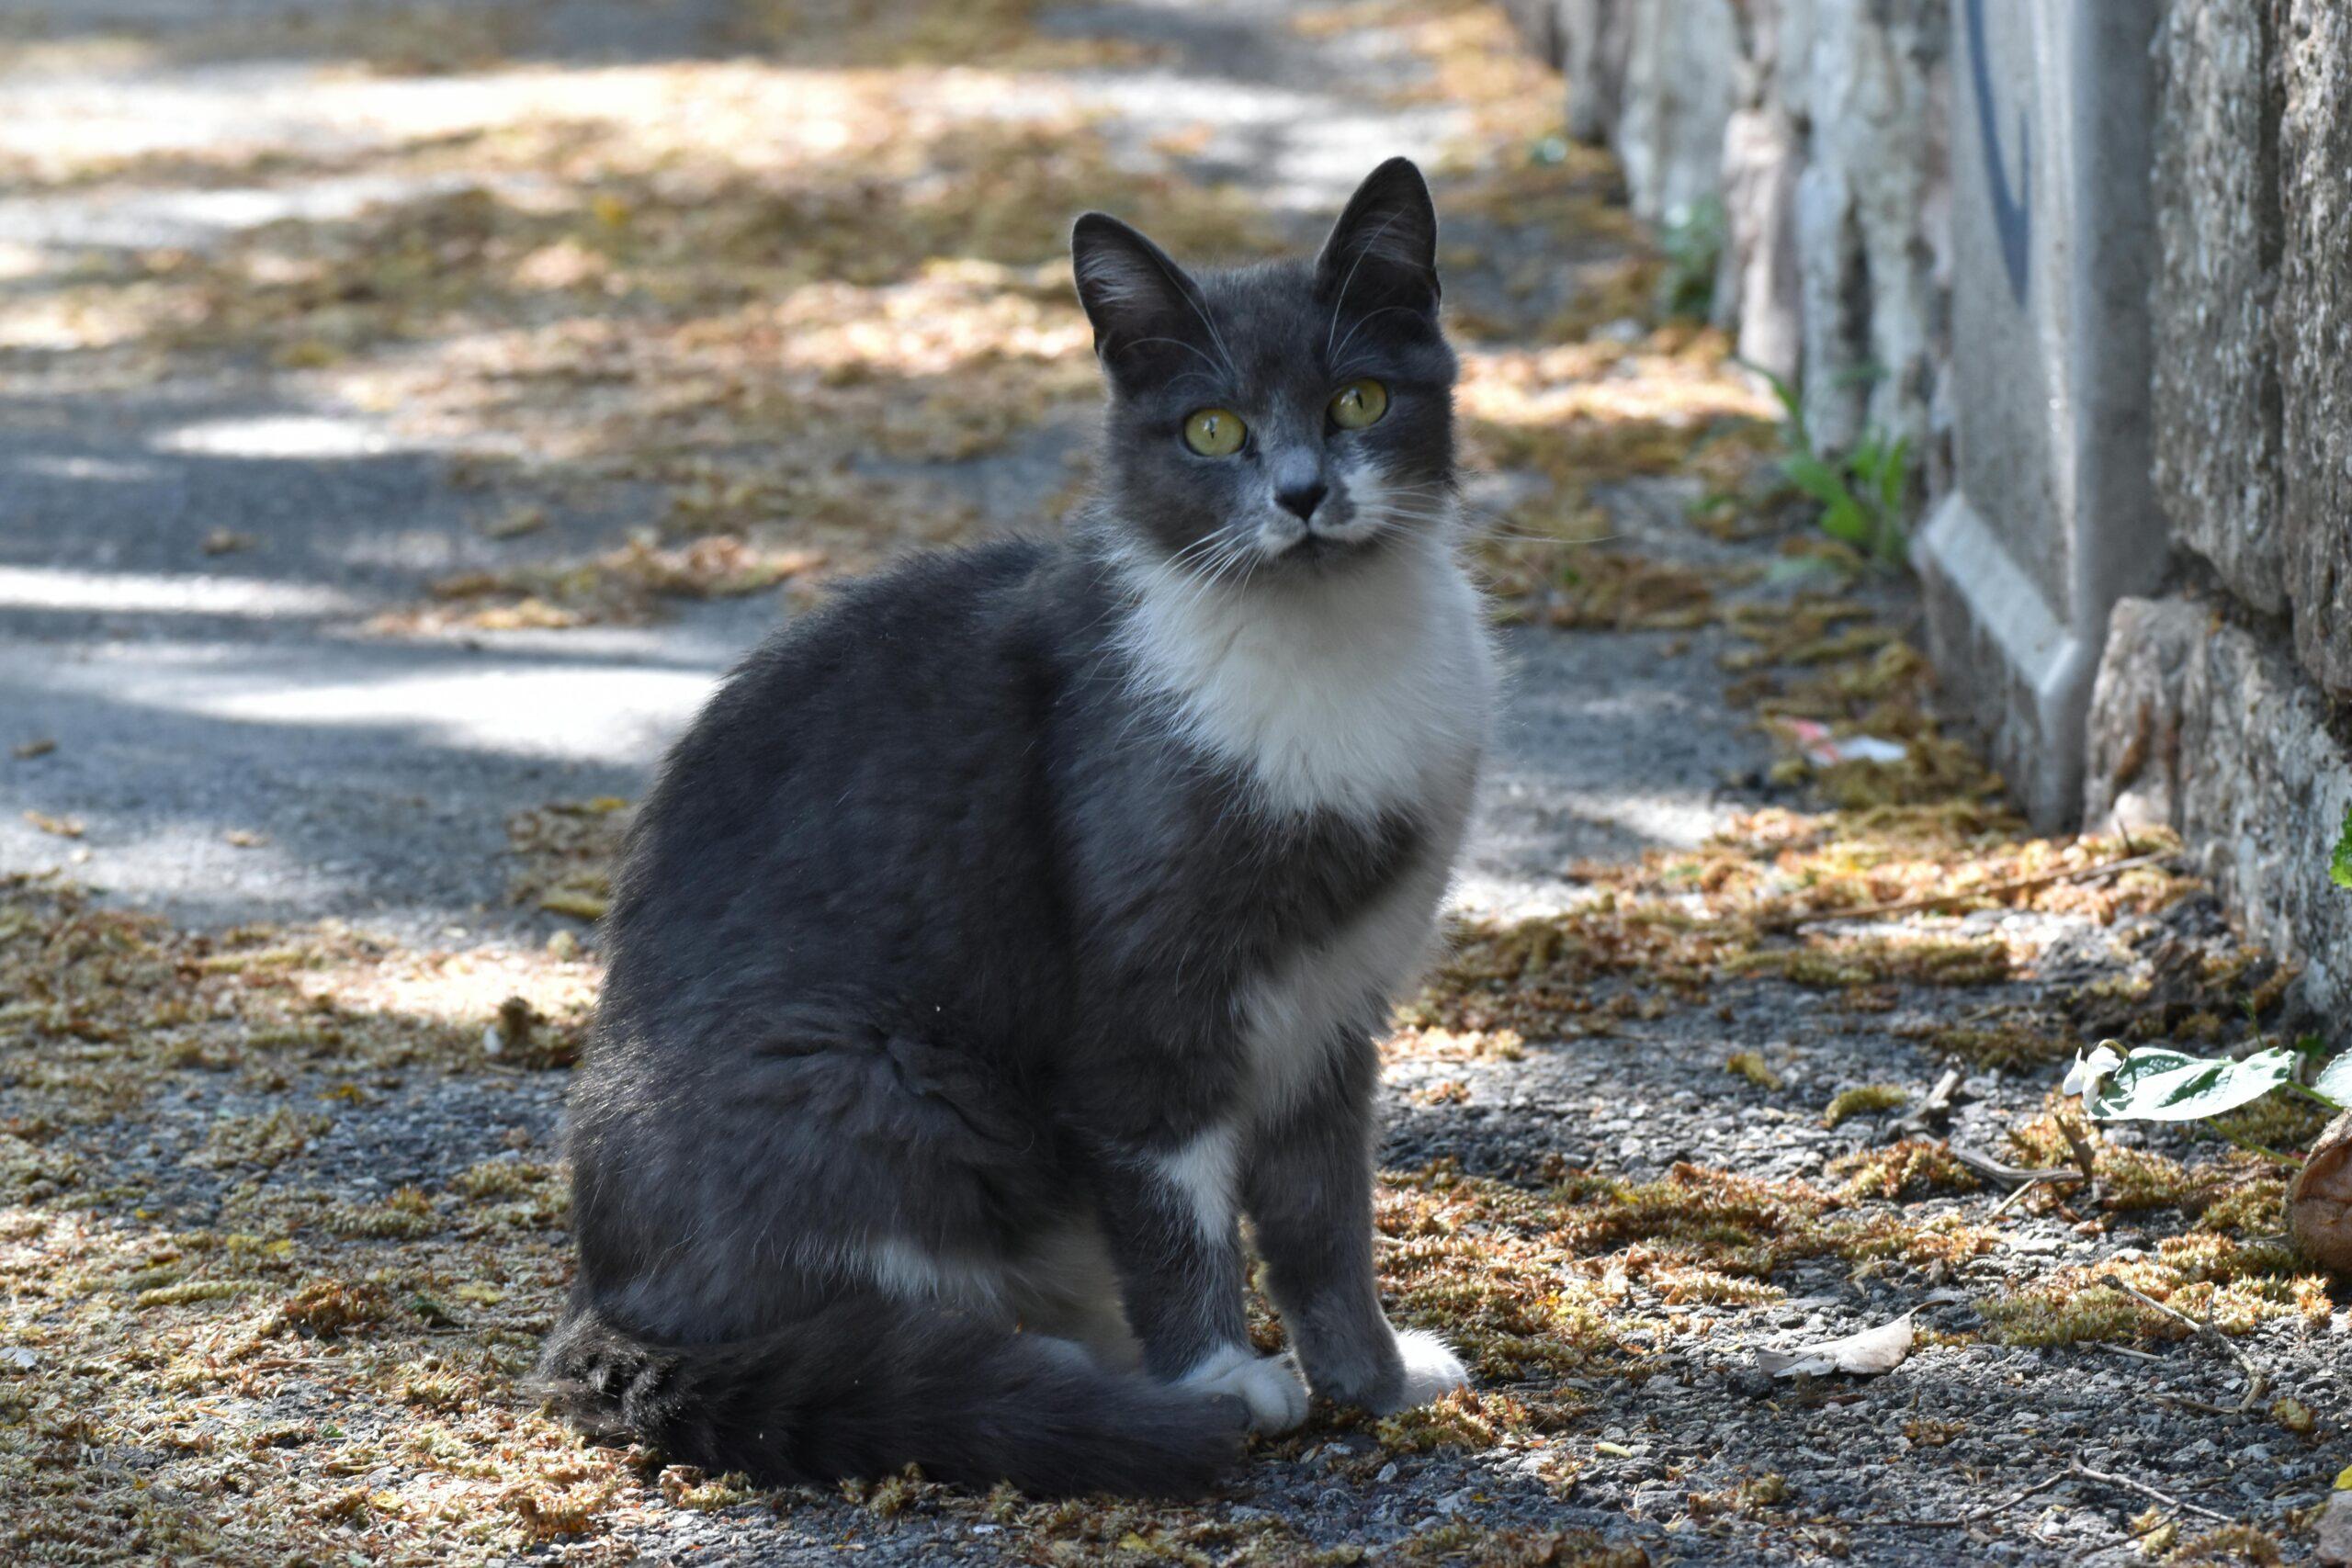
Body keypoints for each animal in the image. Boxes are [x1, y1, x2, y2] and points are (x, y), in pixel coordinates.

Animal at [536, 156, 1496, 1495]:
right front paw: (1219, 1376)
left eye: (1360, 397)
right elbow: (1167, 1196)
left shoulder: (1331, 1006)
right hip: (869, 1089)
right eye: (1212, 429)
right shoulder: (1144, 997)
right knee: (873, 1323)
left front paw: (1376, 1378)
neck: (1322, 654)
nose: (1304, 493)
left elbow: (1324, 1217)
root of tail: (600, 1298)